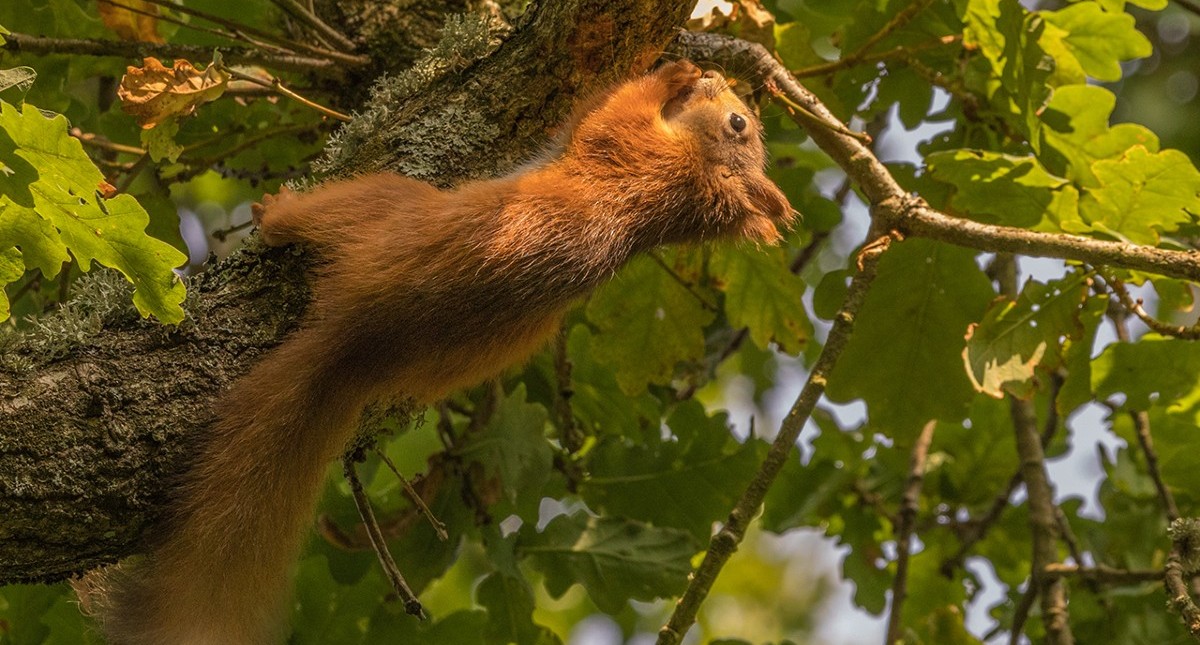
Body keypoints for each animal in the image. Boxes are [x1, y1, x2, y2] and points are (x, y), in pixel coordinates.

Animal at [91, 57, 796, 637]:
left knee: (324, 216)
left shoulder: (626, 144)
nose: (722, 80)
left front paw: (670, 73)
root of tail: (366, 335)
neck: (682, 187)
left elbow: (611, 106)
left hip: (383, 204)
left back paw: (278, 211)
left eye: (736, 121)